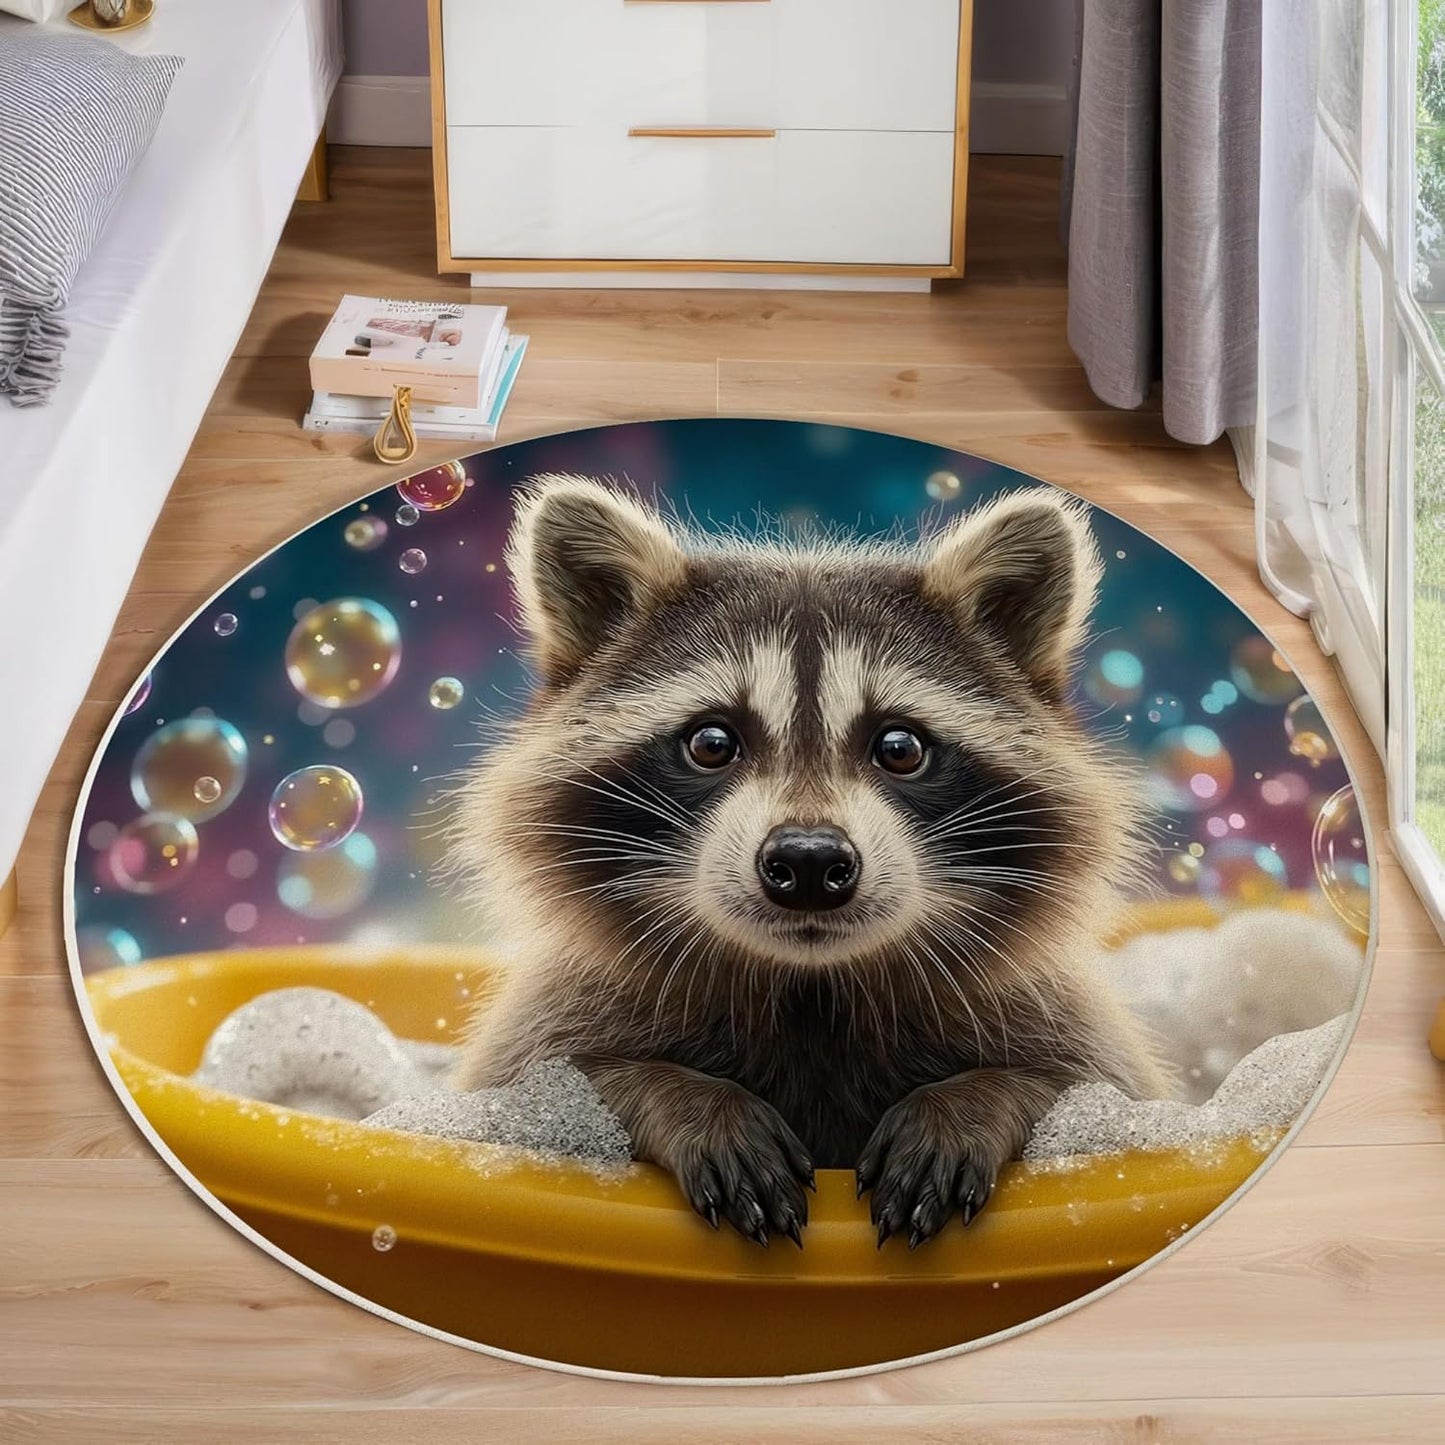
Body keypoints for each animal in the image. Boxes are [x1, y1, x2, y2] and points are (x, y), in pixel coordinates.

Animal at [451, 475, 1167, 1249]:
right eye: (710, 742)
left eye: (899, 748)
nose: (809, 862)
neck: (810, 988)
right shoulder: (559, 1015)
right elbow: (549, 1092)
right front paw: (684, 1095)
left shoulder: (1053, 1018)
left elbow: (1095, 1096)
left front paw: (974, 1098)